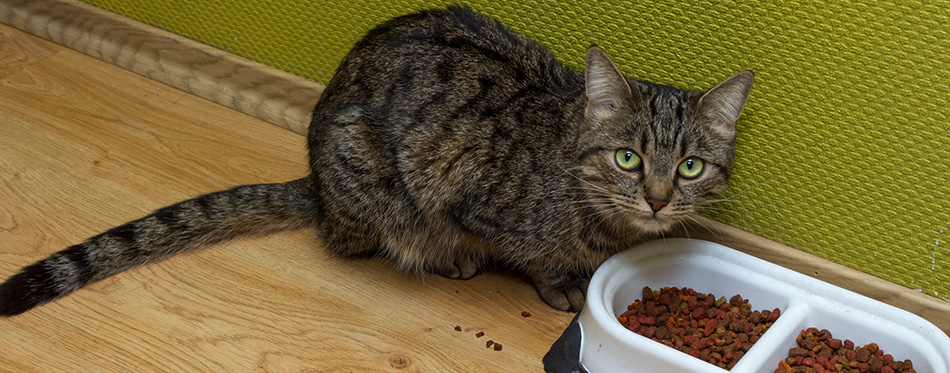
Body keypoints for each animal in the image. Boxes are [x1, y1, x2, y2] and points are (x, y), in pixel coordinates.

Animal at [1, 5, 760, 314]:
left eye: (690, 168)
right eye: (629, 158)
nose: (658, 198)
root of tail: (315, 184)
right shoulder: (463, 192)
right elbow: (532, 256)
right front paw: (560, 284)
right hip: (369, 179)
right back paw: (446, 259)